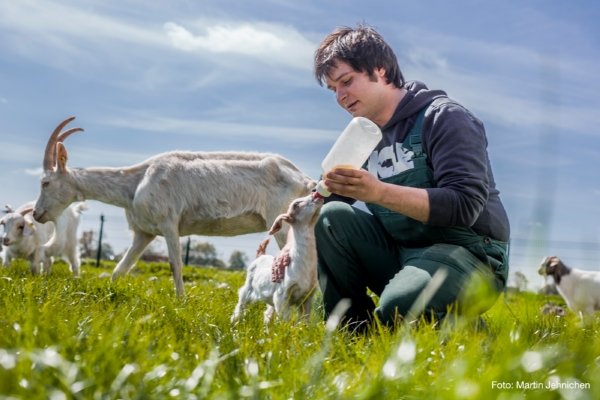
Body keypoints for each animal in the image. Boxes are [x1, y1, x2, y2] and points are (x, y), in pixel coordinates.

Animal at [32, 116, 316, 296]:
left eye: (45, 182)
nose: (36, 214)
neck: (136, 182)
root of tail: (306, 180)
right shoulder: (144, 233)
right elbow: (119, 270)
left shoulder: (169, 223)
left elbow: (175, 265)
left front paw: (182, 302)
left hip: (280, 222)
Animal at [230, 194, 324, 324]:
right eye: (296, 204)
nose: (315, 193)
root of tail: (261, 255)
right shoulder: (282, 295)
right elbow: (285, 320)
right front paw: (285, 329)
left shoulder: (307, 296)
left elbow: (304, 321)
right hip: (248, 288)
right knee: (241, 303)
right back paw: (234, 322)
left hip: (270, 297)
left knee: (267, 314)